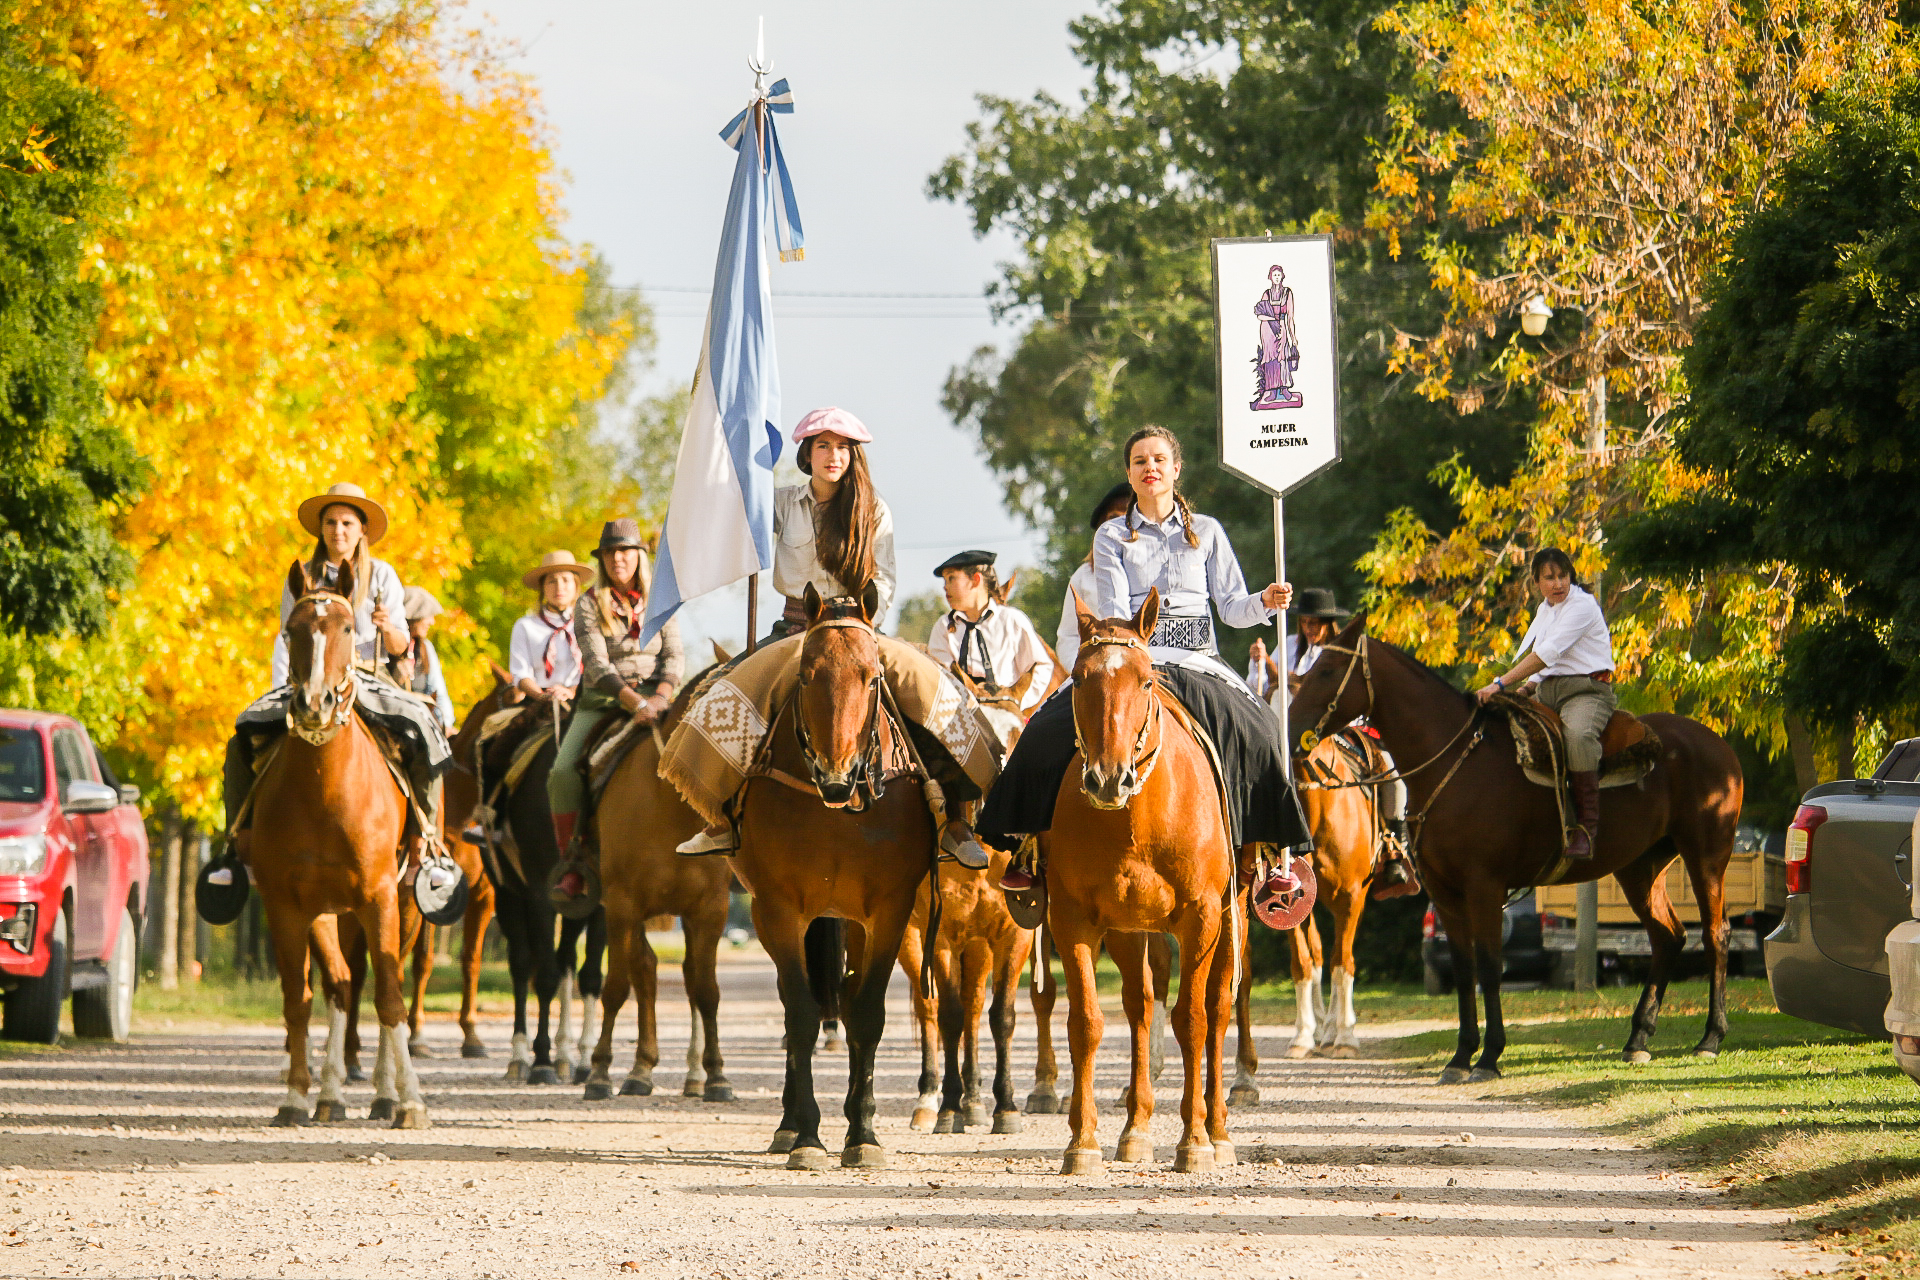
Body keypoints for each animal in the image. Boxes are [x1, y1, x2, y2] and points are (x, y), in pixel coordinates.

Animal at [253, 560, 430, 1128]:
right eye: (292, 630)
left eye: (350, 628)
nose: (314, 703)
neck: (325, 793)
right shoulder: (288, 906)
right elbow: (301, 999)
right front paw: (296, 1096)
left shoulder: (380, 898)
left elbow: (390, 998)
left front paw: (410, 1101)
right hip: (330, 913)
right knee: (341, 986)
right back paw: (331, 1095)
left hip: (403, 908)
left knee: (384, 987)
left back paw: (385, 1093)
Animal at [576, 671, 733, 1105]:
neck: (670, 807)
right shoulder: (621, 905)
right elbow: (616, 986)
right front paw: (599, 1072)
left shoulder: (709, 910)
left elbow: (707, 990)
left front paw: (717, 1076)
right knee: (641, 971)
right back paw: (635, 1070)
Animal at [733, 587, 936, 1174]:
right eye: (805, 675)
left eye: (872, 677)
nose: (837, 773)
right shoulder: (778, 908)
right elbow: (801, 1013)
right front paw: (807, 1136)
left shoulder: (889, 910)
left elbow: (864, 1012)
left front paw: (862, 1133)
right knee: (794, 1002)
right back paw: (787, 1124)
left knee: (845, 997)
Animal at [1052, 587, 1244, 1174]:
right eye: (1079, 678)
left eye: (1143, 681)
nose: (1108, 778)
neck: (1135, 819)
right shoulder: (1073, 921)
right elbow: (1087, 1023)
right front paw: (1082, 1141)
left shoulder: (1202, 918)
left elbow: (1194, 1020)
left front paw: (1195, 1140)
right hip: (1128, 930)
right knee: (1138, 1010)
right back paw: (1135, 1130)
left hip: (1232, 917)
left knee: (1218, 1009)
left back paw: (1218, 1130)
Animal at [1282, 614, 1751, 1074]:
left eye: (1327, 669)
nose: (1289, 734)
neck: (1455, 762)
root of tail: (1719, 746)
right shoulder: (1445, 893)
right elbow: (1464, 968)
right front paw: (1461, 1056)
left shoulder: (1485, 888)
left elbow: (1491, 967)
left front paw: (1489, 1056)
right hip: (1640, 867)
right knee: (1667, 936)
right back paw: (1638, 1038)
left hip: (1707, 856)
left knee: (1715, 933)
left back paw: (1710, 1037)